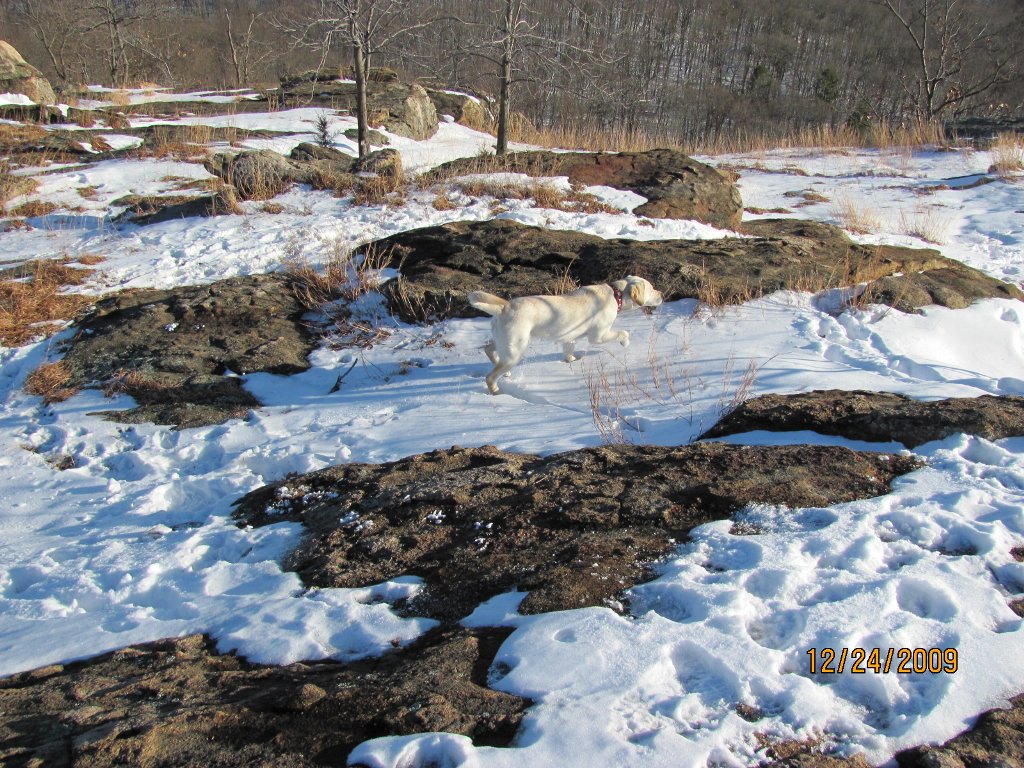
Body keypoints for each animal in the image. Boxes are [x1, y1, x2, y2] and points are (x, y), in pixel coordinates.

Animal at [466, 276, 663, 397]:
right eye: (652, 289)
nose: (661, 294)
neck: (617, 295)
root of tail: (503, 307)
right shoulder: (598, 336)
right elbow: (622, 332)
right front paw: (625, 342)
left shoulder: (570, 337)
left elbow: (569, 352)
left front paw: (571, 361)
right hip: (516, 350)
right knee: (490, 376)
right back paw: (497, 392)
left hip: (506, 344)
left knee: (489, 349)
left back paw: (504, 372)